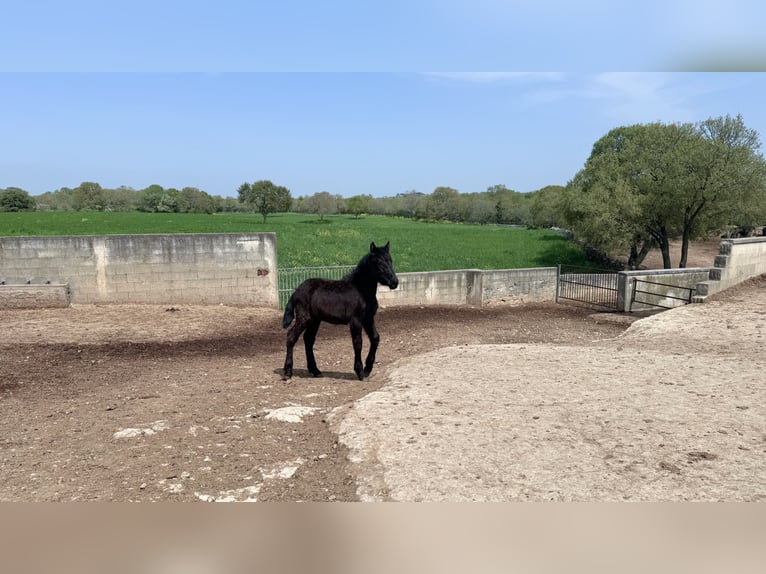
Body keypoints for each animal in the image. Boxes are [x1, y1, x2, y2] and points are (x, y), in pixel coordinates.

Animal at [282, 241, 399, 381]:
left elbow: (375, 338)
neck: (361, 289)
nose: (394, 282)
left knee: (308, 339)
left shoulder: (368, 318)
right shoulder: (356, 320)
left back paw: (315, 370)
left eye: (390, 260)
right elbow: (358, 343)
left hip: (315, 320)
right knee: (291, 337)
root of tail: (296, 291)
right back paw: (288, 372)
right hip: (304, 318)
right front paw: (360, 372)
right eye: (379, 262)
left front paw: (367, 369)